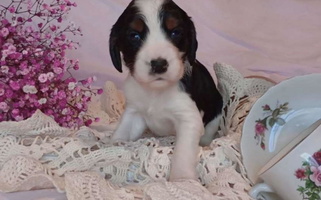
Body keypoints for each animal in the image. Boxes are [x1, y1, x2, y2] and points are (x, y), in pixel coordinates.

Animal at [109, 0, 221, 181]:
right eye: (134, 36)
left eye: (175, 32)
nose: (159, 64)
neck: (156, 91)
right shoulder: (134, 112)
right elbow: (123, 132)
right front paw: (109, 147)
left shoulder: (188, 119)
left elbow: (182, 152)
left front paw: (183, 179)